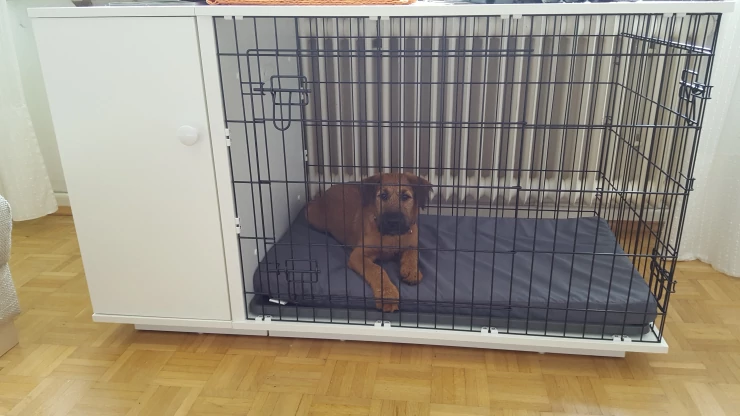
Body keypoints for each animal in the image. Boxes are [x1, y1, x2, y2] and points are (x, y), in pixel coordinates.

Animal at [306, 173, 432, 312]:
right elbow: (377, 270)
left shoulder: (412, 244)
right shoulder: (358, 255)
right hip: (314, 218)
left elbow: (412, 255)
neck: (392, 237)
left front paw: (412, 271)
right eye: (383, 196)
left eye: (405, 197)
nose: (393, 222)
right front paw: (387, 294)